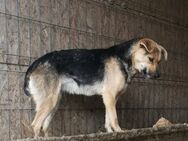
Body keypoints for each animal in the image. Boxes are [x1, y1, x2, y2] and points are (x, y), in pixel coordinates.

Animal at [23, 37, 167, 138]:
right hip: (49, 101)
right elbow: (114, 119)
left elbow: (108, 119)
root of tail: (35, 64)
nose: (158, 76)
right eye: (150, 59)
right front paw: (119, 132)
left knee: (43, 126)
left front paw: (110, 133)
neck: (124, 59)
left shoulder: (110, 99)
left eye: (159, 61)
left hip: (54, 103)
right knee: (35, 125)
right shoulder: (109, 96)